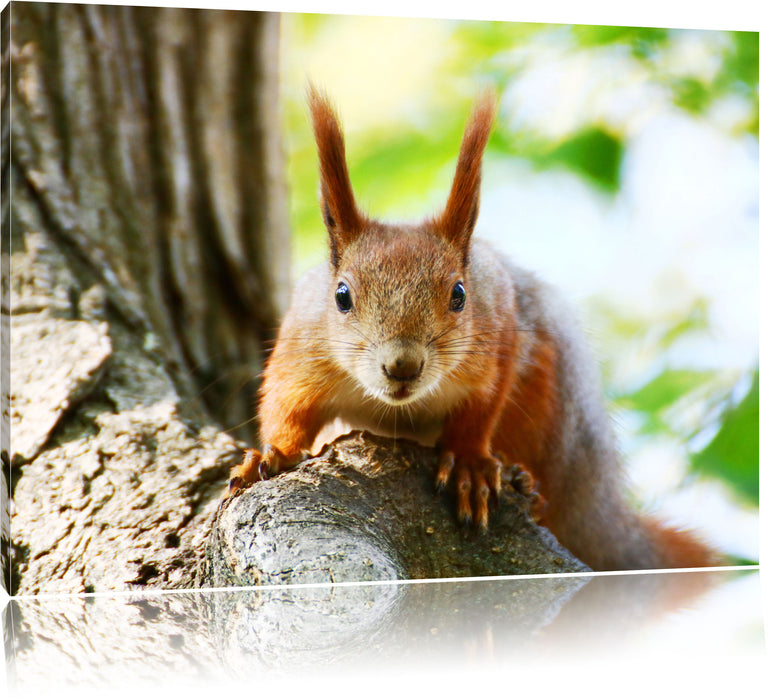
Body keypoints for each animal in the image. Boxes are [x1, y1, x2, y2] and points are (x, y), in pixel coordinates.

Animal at [227, 85, 720, 572]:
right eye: (342, 296)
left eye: (460, 294)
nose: (402, 366)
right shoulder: (302, 348)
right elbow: (286, 408)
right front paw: (271, 454)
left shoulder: (497, 335)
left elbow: (481, 408)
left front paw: (470, 465)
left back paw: (525, 483)